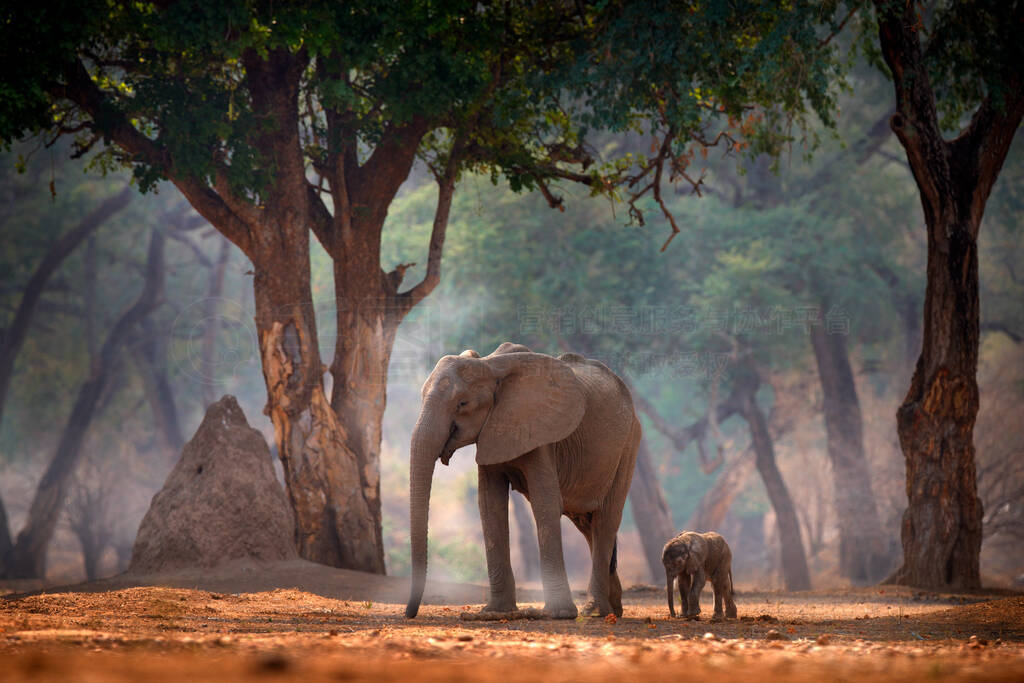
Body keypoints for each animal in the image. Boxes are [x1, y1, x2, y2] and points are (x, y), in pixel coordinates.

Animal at [405, 342, 638, 618]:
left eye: (462, 403)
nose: (410, 613)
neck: (490, 365)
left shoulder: (541, 433)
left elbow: (545, 502)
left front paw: (559, 614)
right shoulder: (491, 431)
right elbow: (489, 505)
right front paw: (495, 612)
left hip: (628, 445)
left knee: (605, 520)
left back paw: (595, 612)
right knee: (586, 523)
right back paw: (614, 608)